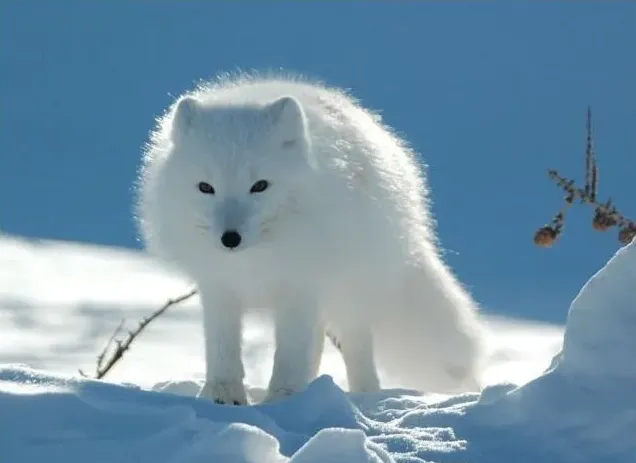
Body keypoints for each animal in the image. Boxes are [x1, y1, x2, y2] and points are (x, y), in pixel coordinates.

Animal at [137, 73, 484, 406]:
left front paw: (283, 400)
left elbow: (291, 352)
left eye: (260, 185)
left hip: (349, 290)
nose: (230, 239)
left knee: (355, 345)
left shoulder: (299, 285)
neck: (256, 259)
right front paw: (222, 395)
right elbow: (222, 347)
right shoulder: (219, 286)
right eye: (205, 187)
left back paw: (363, 395)